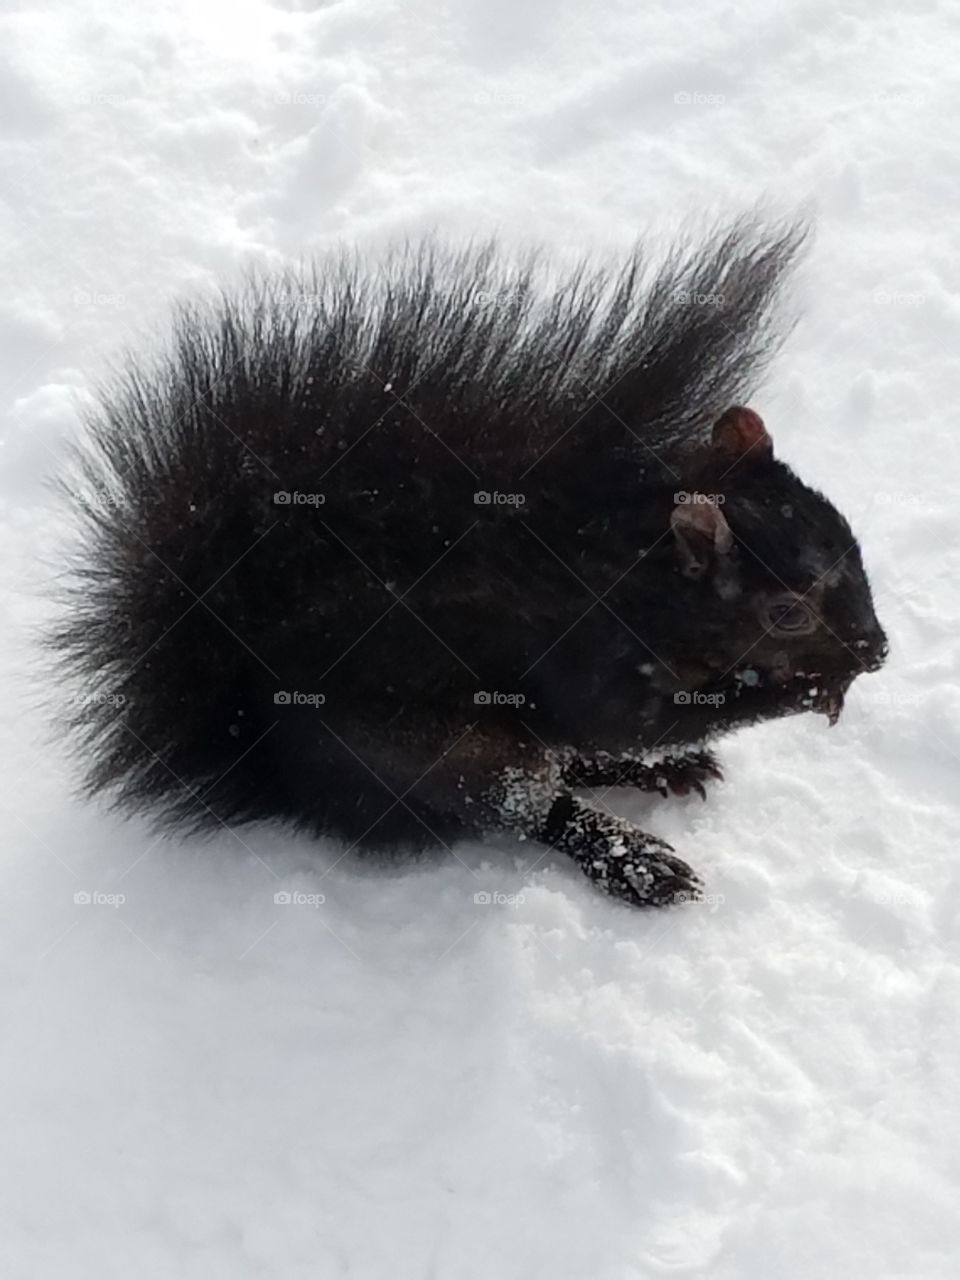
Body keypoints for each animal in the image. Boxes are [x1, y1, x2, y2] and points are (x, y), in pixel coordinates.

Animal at [52, 217, 890, 911]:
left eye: (849, 534)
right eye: (785, 612)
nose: (878, 650)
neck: (632, 574)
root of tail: (288, 773)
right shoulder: (591, 657)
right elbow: (646, 718)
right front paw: (806, 689)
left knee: (574, 763)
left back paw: (664, 774)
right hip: (459, 753)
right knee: (537, 802)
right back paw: (631, 857)